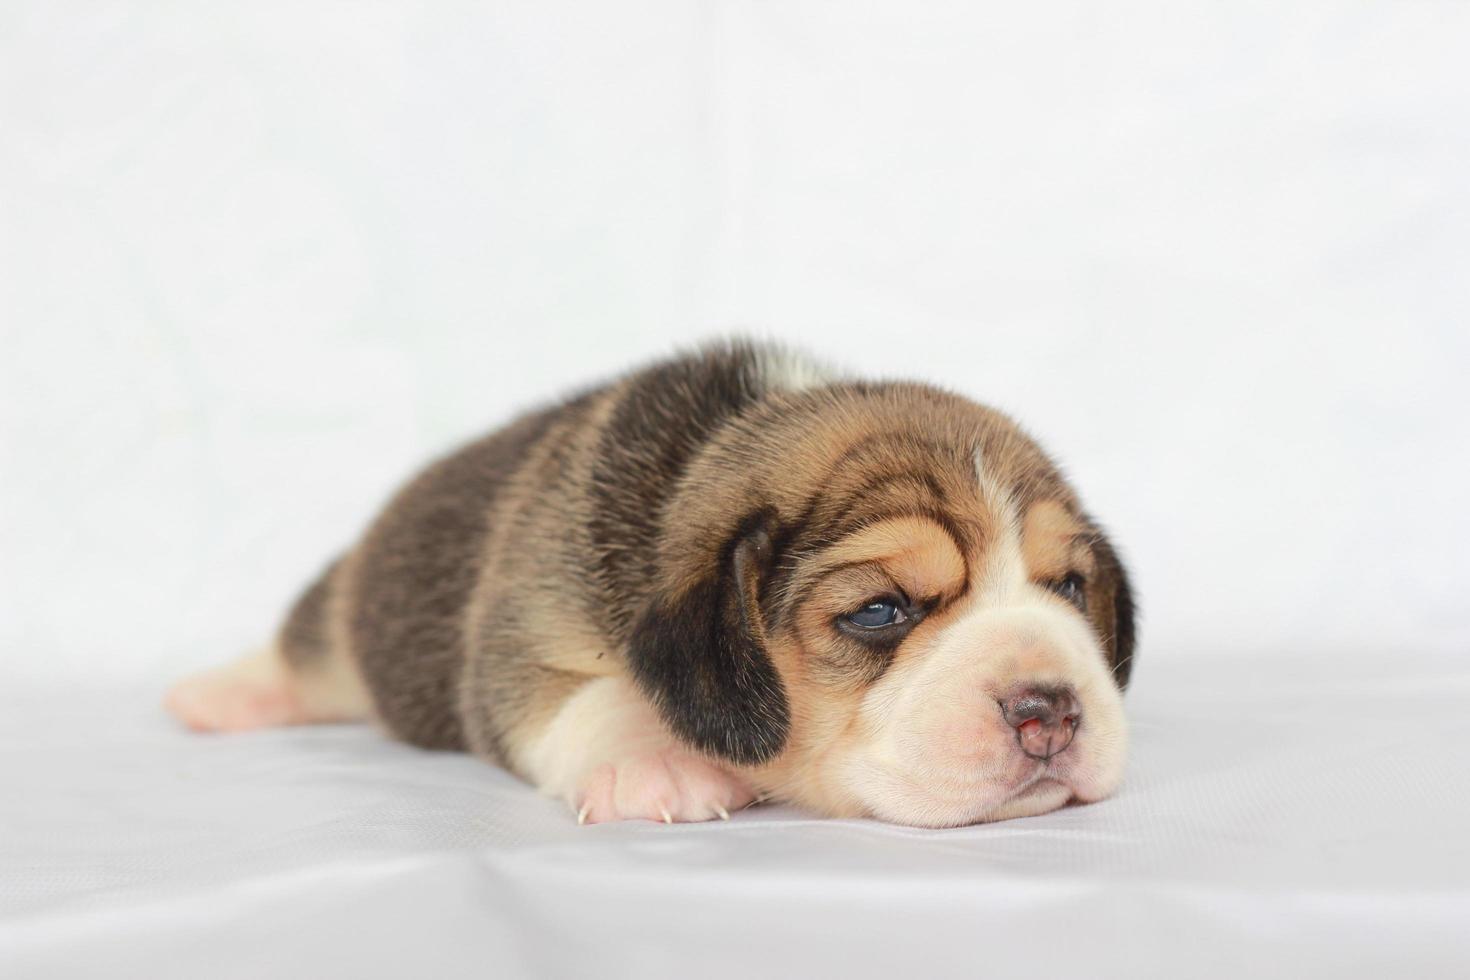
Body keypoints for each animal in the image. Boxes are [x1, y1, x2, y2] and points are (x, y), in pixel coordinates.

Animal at [169, 340, 1134, 822]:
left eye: (1069, 588)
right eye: (879, 610)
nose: (1050, 711)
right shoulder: (522, 637)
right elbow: (585, 694)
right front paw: (653, 761)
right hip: (343, 611)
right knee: (304, 647)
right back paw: (222, 694)